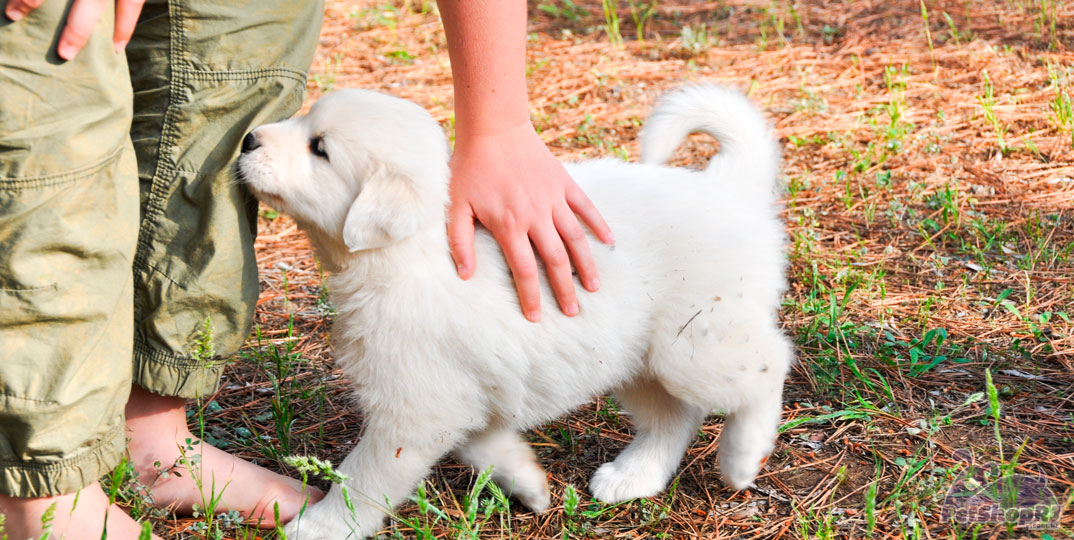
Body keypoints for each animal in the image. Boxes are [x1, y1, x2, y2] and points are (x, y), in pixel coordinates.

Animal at [241, 85, 790, 540]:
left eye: (319, 148)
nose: (247, 140)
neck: (407, 255)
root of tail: (726, 189)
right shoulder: (462, 395)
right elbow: (483, 446)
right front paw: (529, 484)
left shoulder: (411, 413)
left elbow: (361, 479)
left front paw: (320, 526)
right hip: (637, 357)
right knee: (673, 419)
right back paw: (632, 476)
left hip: (697, 344)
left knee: (771, 364)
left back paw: (743, 458)